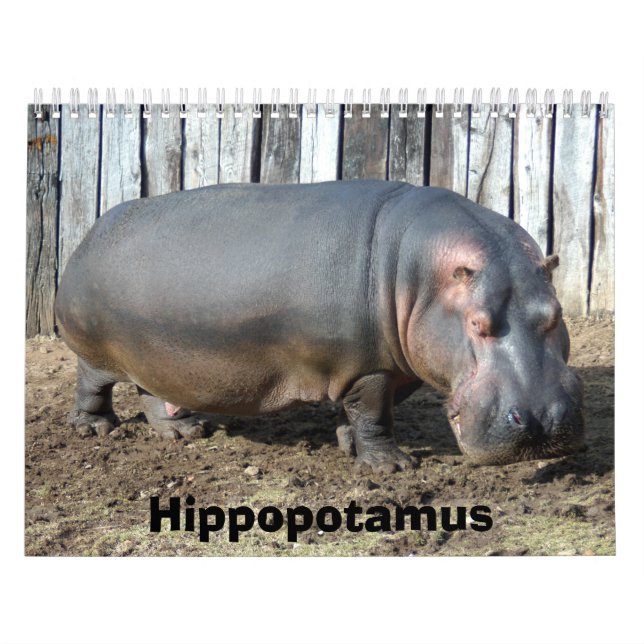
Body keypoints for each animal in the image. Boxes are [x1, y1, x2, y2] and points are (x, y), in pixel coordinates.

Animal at [55, 180, 584, 472]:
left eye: (555, 314)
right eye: (478, 323)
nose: (542, 422)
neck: (416, 273)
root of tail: (92, 231)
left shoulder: (387, 367)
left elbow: (365, 413)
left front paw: (350, 446)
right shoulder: (368, 367)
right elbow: (374, 413)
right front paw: (391, 466)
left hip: (153, 352)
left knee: (152, 391)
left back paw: (184, 433)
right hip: (95, 352)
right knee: (92, 385)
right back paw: (96, 430)